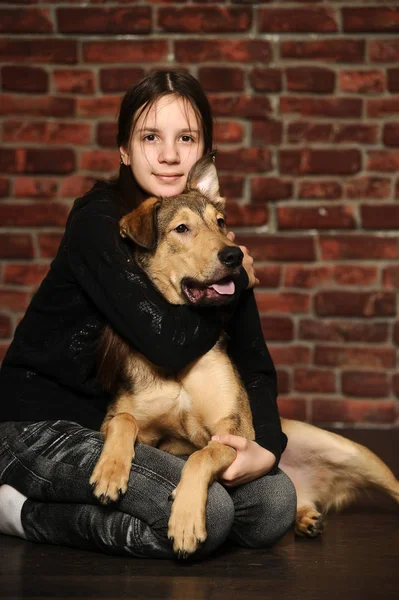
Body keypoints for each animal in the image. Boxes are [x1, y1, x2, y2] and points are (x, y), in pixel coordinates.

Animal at [90, 152, 399, 556]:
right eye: (181, 229)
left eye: (220, 222)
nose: (233, 255)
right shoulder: (121, 423)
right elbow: (125, 420)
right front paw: (110, 472)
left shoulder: (236, 431)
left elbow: (202, 455)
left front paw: (186, 519)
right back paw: (305, 517)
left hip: (354, 452)